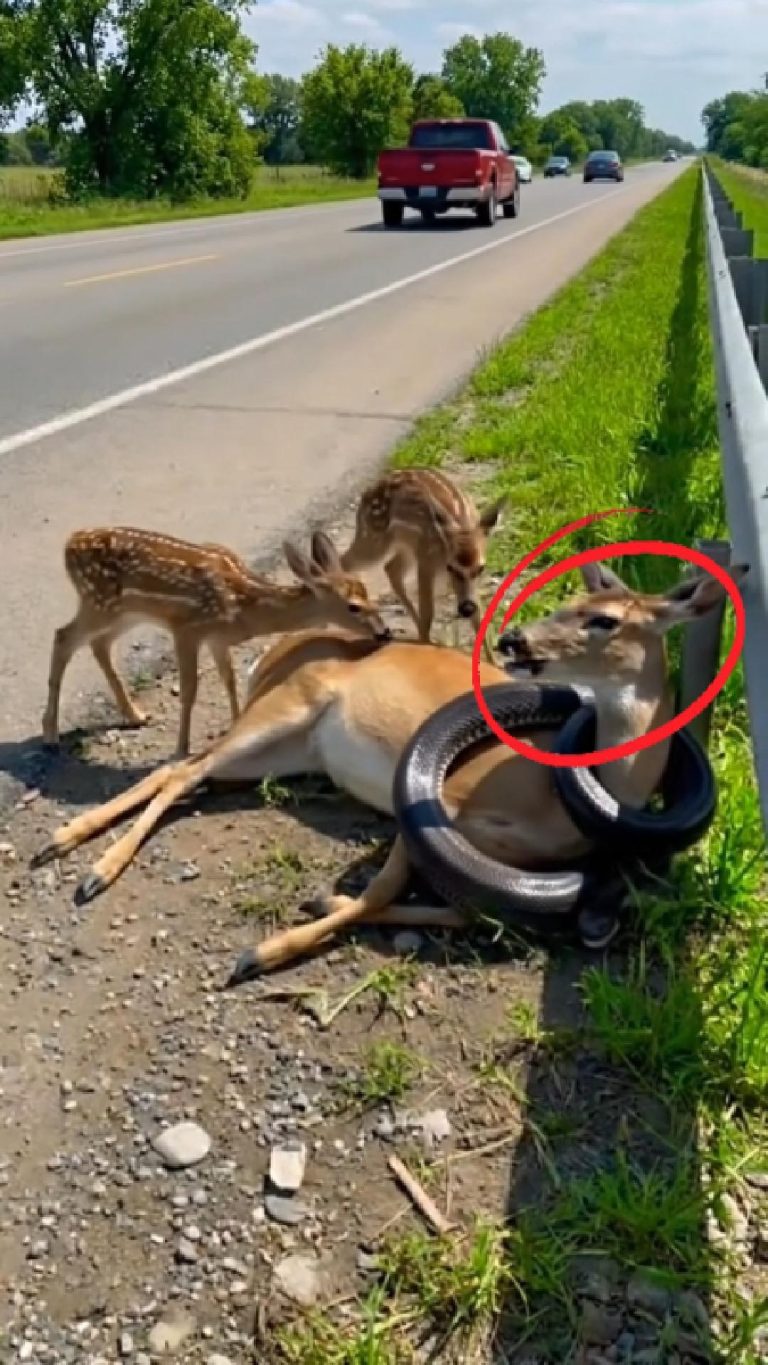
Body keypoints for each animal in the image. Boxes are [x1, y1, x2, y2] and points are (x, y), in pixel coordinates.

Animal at [31, 558, 745, 976]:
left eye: (603, 619)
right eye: (565, 601)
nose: (513, 639)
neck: (554, 799)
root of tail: (282, 649)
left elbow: (465, 912)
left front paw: (320, 900)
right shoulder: (441, 800)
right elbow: (379, 892)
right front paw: (262, 951)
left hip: (291, 751)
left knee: (184, 769)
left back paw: (70, 845)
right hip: (287, 709)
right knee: (183, 769)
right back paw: (86, 865)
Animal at [41, 526, 391, 759]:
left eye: (367, 592)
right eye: (353, 606)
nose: (384, 632)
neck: (244, 607)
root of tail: (69, 544)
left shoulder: (218, 639)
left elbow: (230, 680)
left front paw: (236, 724)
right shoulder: (188, 628)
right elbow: (189, 690)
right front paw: (181, 749)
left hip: (123, 612)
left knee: (98, 644)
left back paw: (135, 714)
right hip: (98, 602)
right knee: (63, 637)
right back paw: (50, 734)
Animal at [341, 468, 506, 646]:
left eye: (481, 568)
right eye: (450, 567)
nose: (466, 609)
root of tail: (366, 493)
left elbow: (480, 617)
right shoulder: (426, 560)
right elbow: (428, 613)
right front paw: (426, 642)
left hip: (405, 546)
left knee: (390, 568)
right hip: (375, 537)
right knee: (347, 560)